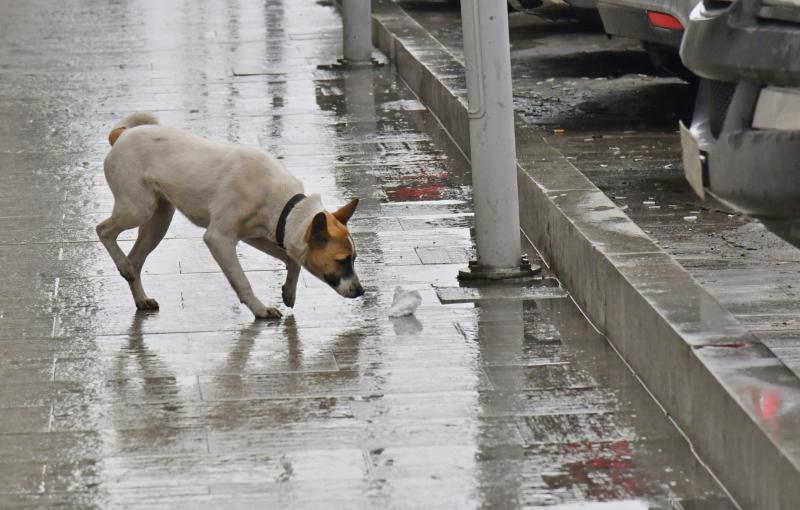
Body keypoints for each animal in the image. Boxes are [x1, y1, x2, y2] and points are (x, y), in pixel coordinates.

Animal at [95, 112, 364, 318]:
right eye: (342, 260)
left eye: (354, 259)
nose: (361, 291)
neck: (284, 205)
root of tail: (121, 136)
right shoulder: (219, 239)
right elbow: (241, 280)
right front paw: (260, 310)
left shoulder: (256, 236)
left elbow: (292, 260)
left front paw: (289, 290)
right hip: (138, 209)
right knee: (103, 230)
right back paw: (122, 263)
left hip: (159, 220)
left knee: (136, 259)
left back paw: (138, 292)